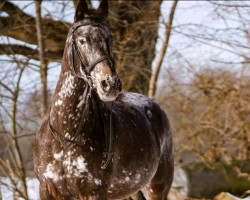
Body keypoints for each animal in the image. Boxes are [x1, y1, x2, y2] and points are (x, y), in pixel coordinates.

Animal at [33, 0, 174, 200]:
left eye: (110, 39)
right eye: (82, 40)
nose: (110, 83)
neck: (66, 136)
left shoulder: (93, 192)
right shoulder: (47, 190)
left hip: (156, 187)